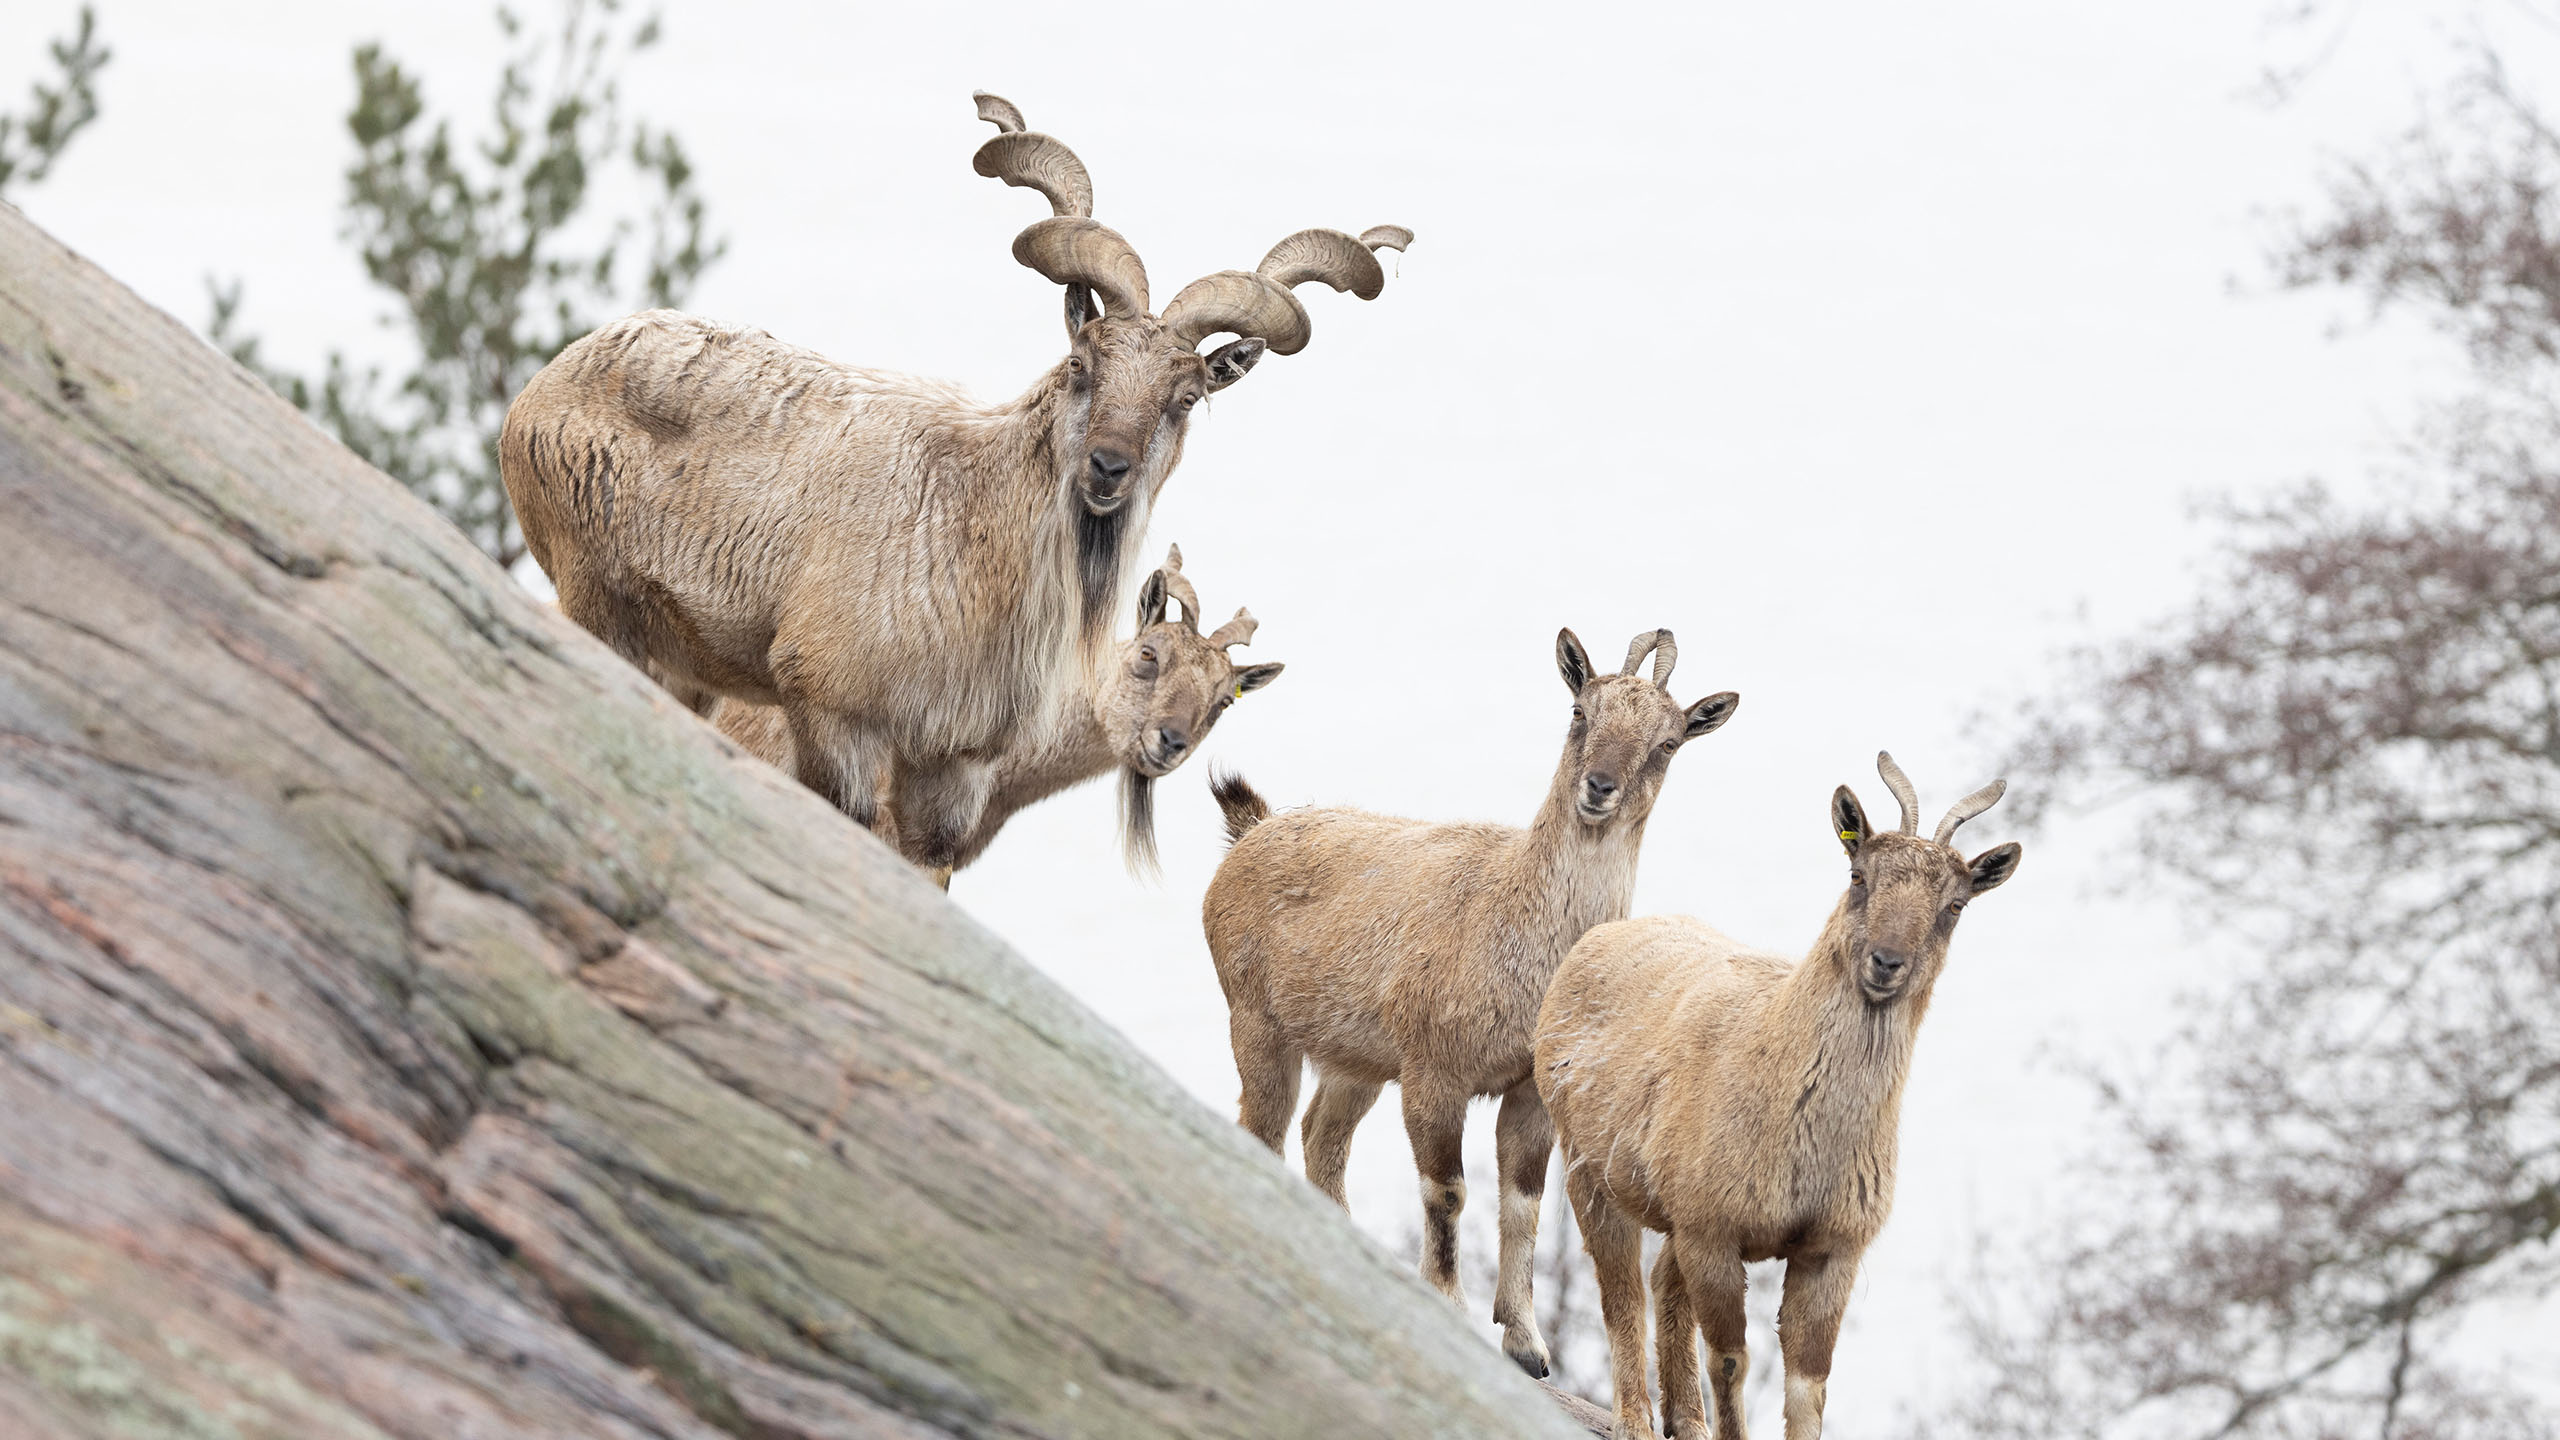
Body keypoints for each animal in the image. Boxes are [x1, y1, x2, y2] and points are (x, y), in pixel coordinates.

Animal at [1203, 627, 1740, 1383]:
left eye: (1668, 743)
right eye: (1580, 712)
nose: (1599, 789)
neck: (1515, 921)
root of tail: (1252, 832)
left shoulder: (1529, 1094)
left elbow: (1522, 1204)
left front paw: (1527, 1343)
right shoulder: (1435, 1073)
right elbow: (1448, 1189)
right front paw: (1451, 1304)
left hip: (1357, 1062)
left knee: (1320, 1137)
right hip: (1257, 1023)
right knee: (1265, 1127)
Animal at [1536, 753, 2017, 1434]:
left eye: (1955, 905)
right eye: (1858, 875)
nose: (1886, 962)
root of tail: (1593, 945)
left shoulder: (1831, 1248)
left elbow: (1808, 1384)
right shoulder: (1712, 1228)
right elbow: (1731, 1359)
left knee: (1660, 1280)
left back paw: (1687, 1421)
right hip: (1588, 1164)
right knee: (1620, 1287)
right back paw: (1635, 1419)